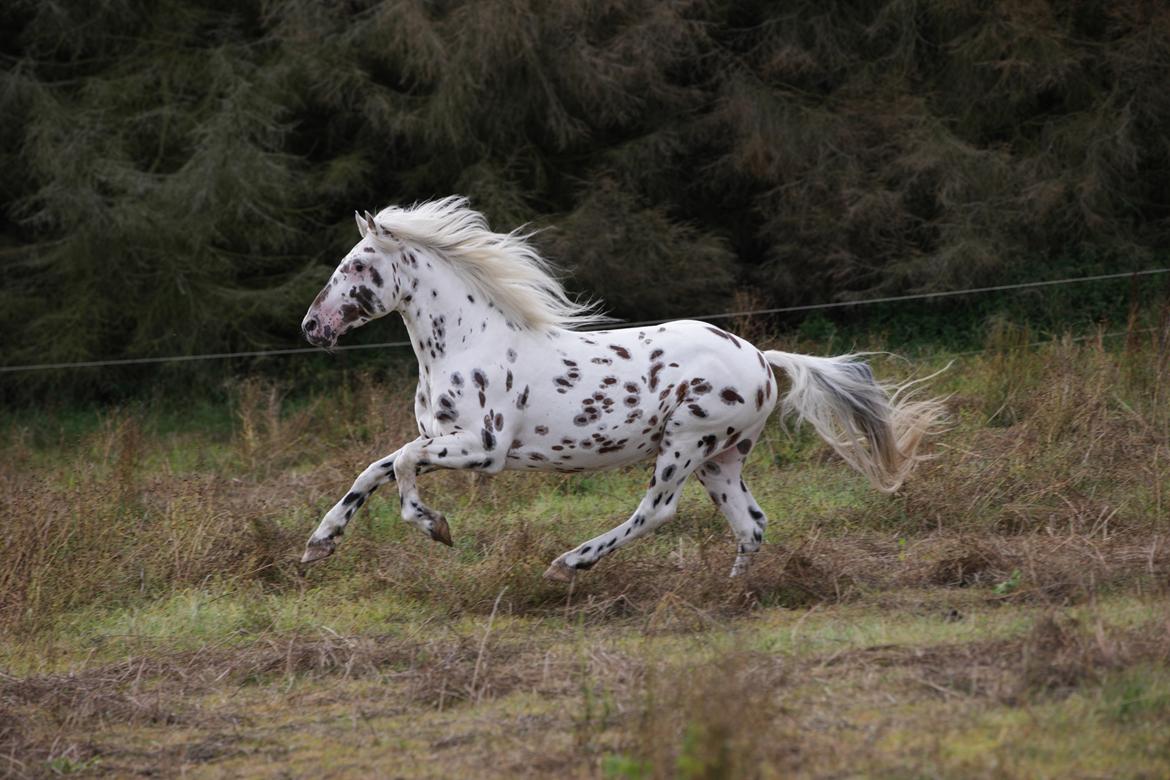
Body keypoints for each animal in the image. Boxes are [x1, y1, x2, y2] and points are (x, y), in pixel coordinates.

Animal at [297, 198, 945, 582]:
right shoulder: (443, 440)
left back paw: (569, 563)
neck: (466, 342)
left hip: (685, 444)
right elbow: (374, 469)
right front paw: (319, 543)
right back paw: (733, 593)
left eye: (356, 266)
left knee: (657, 510)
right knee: (751, 523)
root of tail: (761, 358)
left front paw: (435, 527)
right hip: (722, 459)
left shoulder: (484, 448)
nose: (311, 327)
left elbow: (403, 464)